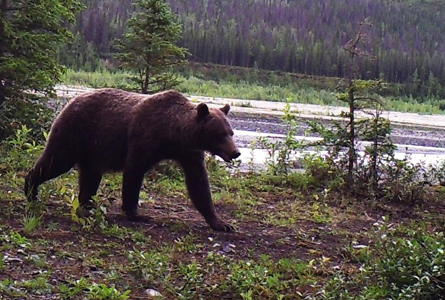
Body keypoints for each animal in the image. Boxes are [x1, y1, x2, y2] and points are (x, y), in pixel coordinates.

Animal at [24, 88, 239, 231]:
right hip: (74, 133)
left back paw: (88, 206)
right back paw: (31, 190)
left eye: (231, 132)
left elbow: (199, 183)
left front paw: (221, 223)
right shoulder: (144, 138)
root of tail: (72, 100)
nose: (236, 152)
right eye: (220, 134)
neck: (173, 134)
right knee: (57, 160)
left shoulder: (189, 153)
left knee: (90, 176)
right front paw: (137, 213)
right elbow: (134, 171)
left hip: (93, 149)